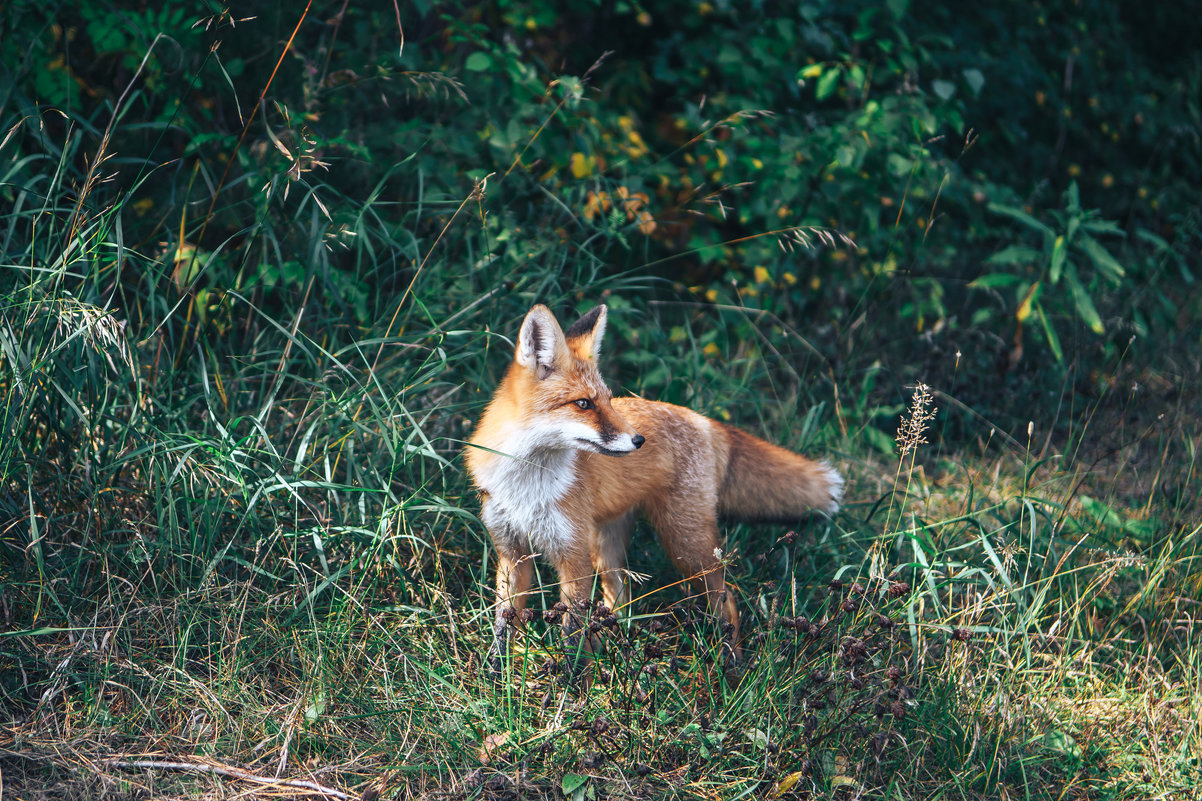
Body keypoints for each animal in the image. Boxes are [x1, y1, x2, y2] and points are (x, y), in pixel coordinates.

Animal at [463, 303, 841, 663]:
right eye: (583, 403)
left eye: (608, 399)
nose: (638, 440)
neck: (525, 486)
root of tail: (703, 420)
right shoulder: (512, 553)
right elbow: (504, 624)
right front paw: (496, 674)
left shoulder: (573, 558)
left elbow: (571, 636)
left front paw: (572, 683)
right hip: (608, 547)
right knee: (621, 598)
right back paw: (616, 649)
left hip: (685, 545)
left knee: (728, 599)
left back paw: (730, 663)